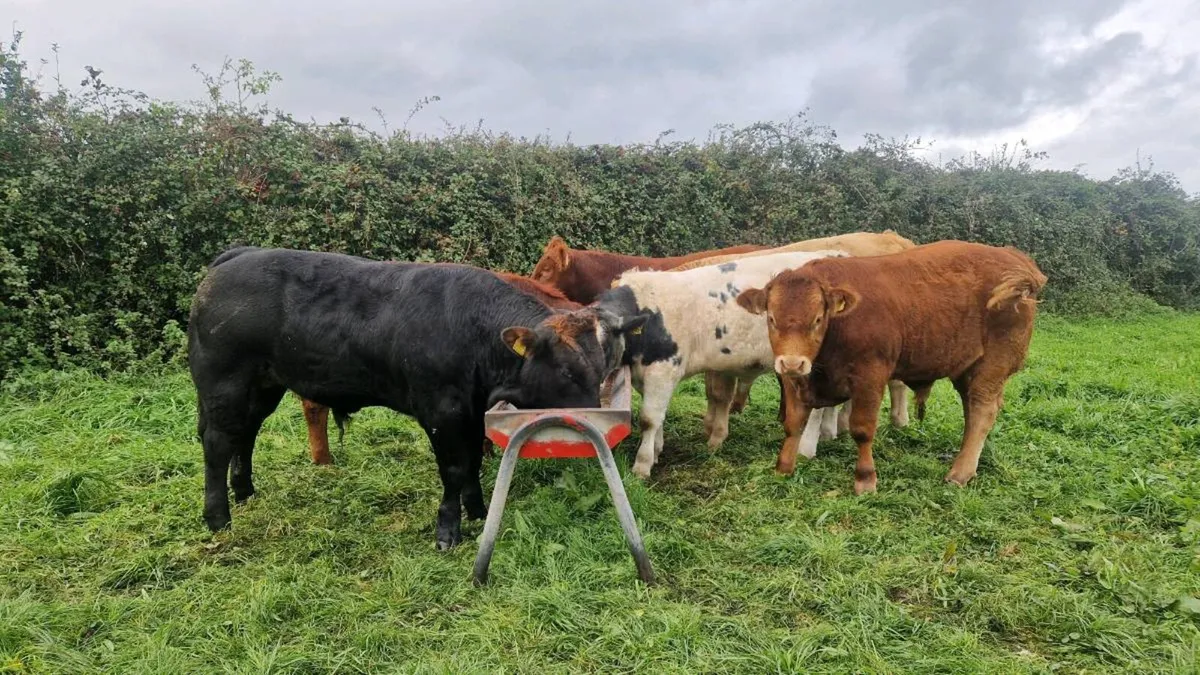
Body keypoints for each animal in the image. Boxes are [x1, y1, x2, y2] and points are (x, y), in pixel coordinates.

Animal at [596, 249, 848, 478]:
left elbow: (649, 419)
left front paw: (642, 465)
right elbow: (659, 417)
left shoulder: (664, 370)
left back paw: (808, 447)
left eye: (604, 345)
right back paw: (830, 432)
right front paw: (657, 451)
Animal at [735, 240, 1047, 494]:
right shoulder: (795, 380)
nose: (792, 362)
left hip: (993, 365)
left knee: (983, 411)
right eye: (771, 319)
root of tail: (1014, 257)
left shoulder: (870, 377)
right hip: (966, 366)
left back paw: (959, 473)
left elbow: (862, 429)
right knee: (972, 412)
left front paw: (865, 479)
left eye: (817, 319)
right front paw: (783, 467)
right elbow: (793, 423)